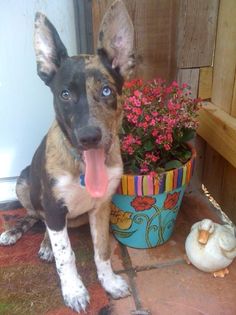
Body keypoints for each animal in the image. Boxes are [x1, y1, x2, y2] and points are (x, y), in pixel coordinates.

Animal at [0, 0, 135, 314]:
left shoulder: (101, 206)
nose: (89, 137)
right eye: (64, 94)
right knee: (34, 217)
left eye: (107, 90)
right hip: (23, 180)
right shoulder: (53, 205)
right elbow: (66, 255)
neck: (83, 166)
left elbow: (102, 250)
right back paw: (24, 236)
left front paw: (109, 282)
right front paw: (74, 291)